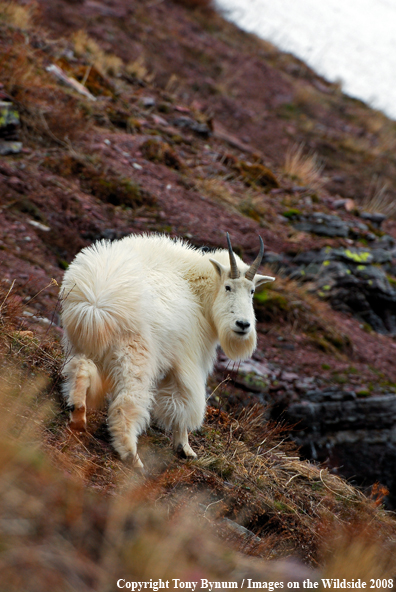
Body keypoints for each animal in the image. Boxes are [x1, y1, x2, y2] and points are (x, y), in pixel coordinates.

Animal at [60, 232, 274, 468]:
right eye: (228, 287)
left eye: (252, 291)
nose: (243, 325)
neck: (196, 289)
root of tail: (95, 304)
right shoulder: (187, 360)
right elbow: (183, 404)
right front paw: (185, 448)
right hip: (135, 355)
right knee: (126, 402)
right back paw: (132, 456)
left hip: (81, 344)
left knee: (80, 368)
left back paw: (78, 414)